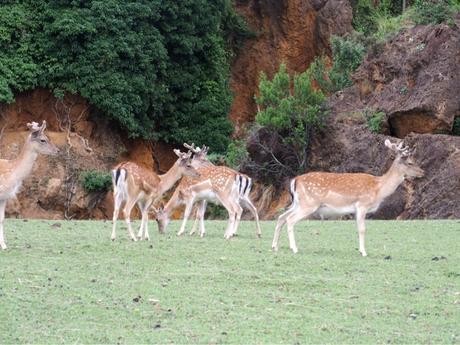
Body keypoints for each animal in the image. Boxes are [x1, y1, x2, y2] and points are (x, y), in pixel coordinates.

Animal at [272, 139, 426, 255]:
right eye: (410, 162)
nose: (422, 172)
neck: (378, 189)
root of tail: (295, 180)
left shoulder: (356, 209)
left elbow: (358, 228)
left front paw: (361, 250)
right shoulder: (362, 204)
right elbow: (362, 229)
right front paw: (364, 252)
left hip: (297, 203)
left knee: (281, 217)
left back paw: (274, 246)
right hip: (308, 204)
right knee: (290, 220)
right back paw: (294, 248)